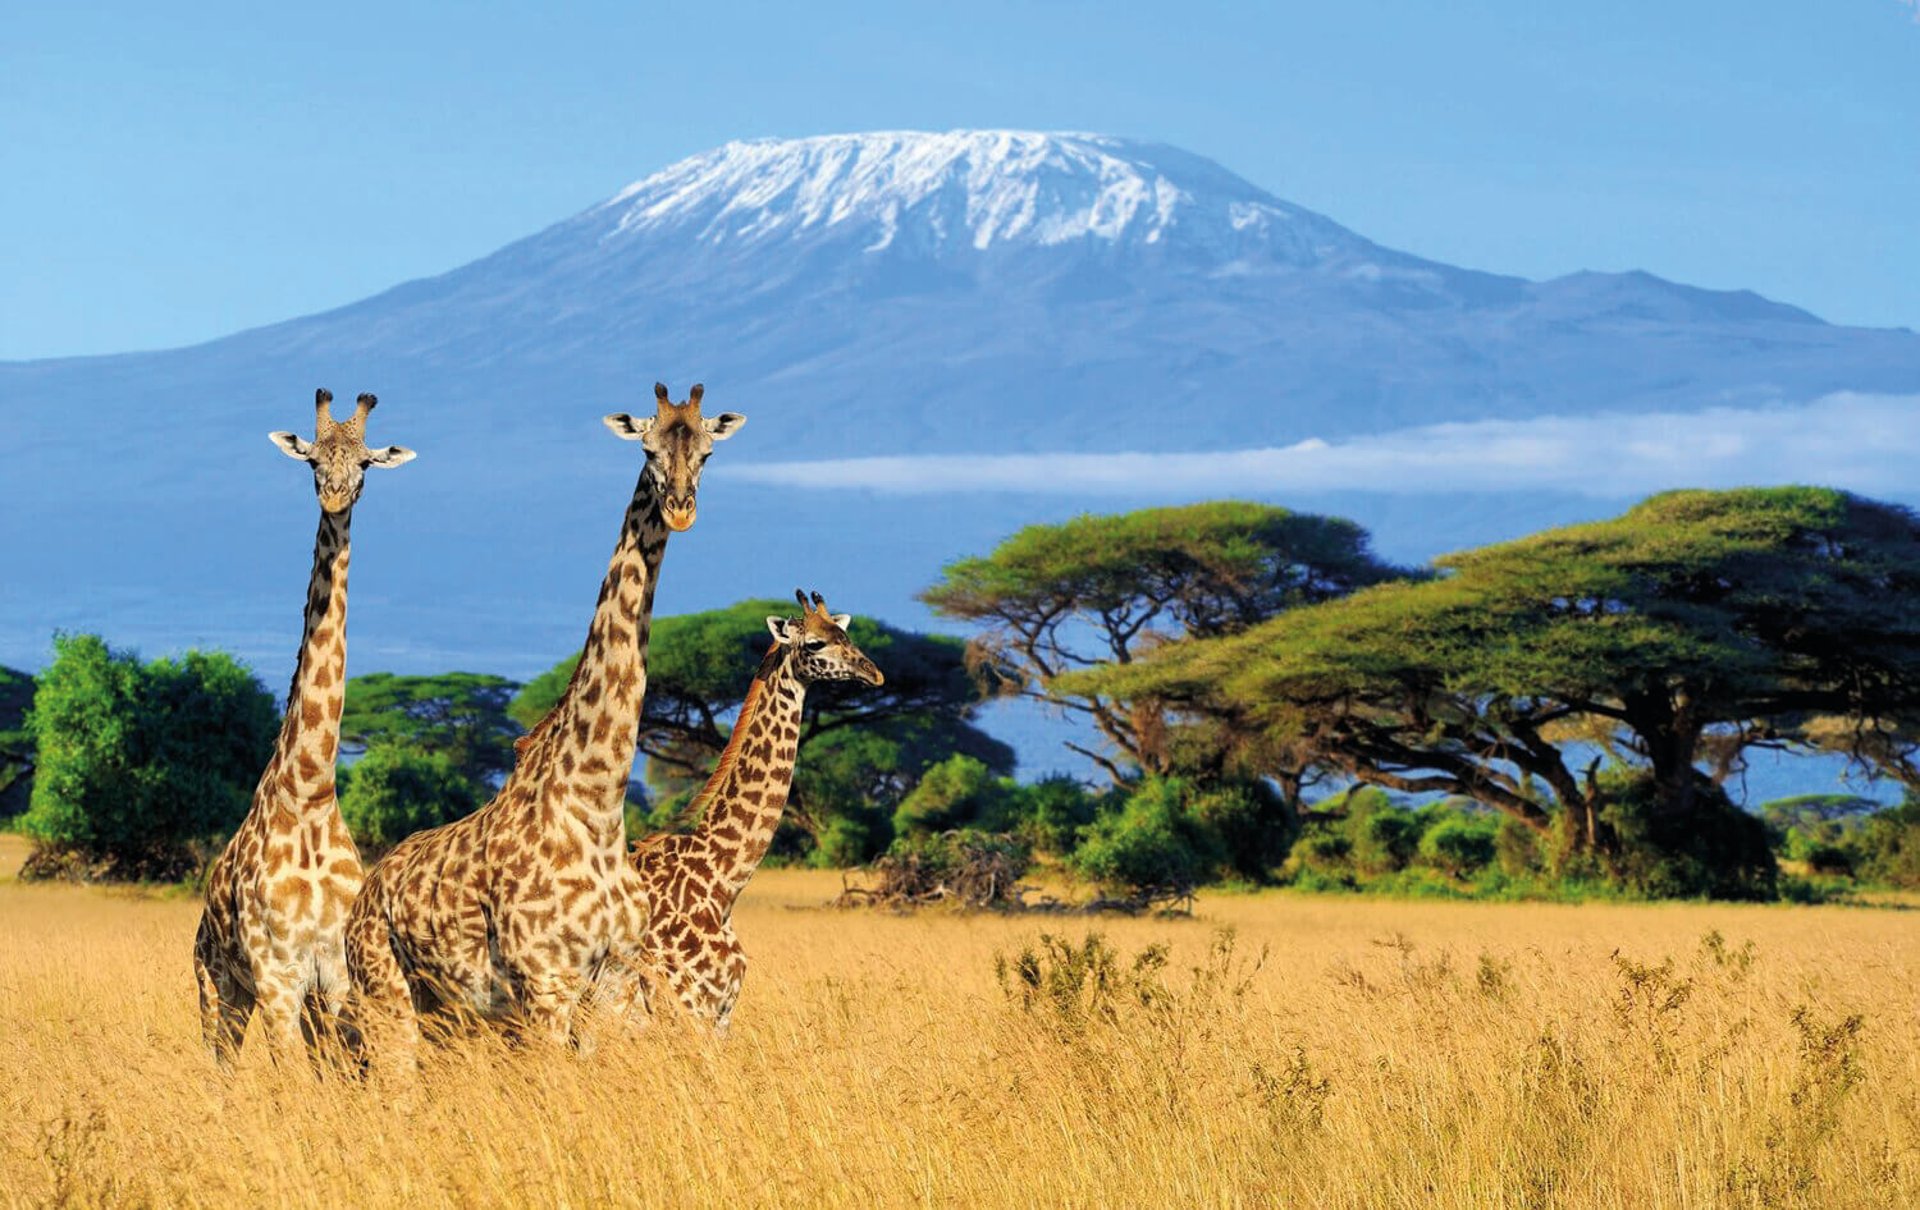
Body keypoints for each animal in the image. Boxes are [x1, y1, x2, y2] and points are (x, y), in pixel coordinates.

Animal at [192, 391, 414, 1067]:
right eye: (313, 460)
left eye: (365, 463)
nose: (336, 497)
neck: (311, 792)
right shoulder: (277, 975)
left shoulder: (335, 976)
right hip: (217, 987)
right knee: (219, 1065)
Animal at [345, 380, 741, 1067]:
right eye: (647, 448)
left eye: (708, 452)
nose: (681, 509)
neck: (597, 803)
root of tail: (363, 897)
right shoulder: (546, 984)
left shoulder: (614, 983)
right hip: (386, 995)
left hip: (446, 1012)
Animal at [602, 591, 887, 1037]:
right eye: (815, 644)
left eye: (845, 634)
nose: (874, 674)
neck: (721, 879)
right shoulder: (687, 1009)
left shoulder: (721, 1013)